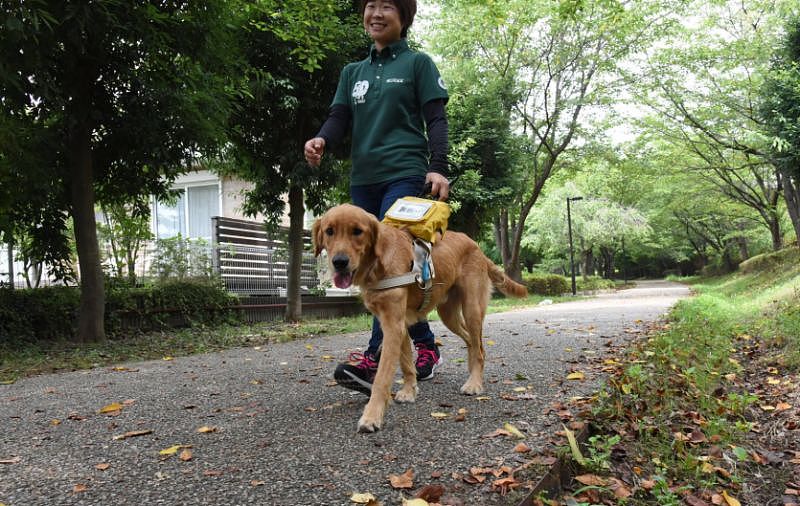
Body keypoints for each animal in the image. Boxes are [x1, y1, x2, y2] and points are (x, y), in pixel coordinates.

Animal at [314, 204, 532, 432]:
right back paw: (473, 371)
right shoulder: (396, 324)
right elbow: (406, 365)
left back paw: (474, 382)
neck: (377, 264)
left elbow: (382, 378)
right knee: (472, 342)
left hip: (472, 309)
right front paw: (409, 391)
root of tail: (476, 246)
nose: (339, 262)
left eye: (357, 231)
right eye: (329, 231)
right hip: (448, 315)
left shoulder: (393, 326)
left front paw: (372, 416)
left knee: (479, 346)